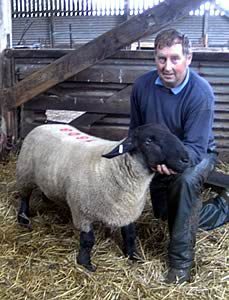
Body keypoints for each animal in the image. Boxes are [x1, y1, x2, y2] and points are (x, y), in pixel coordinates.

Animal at [16, 123, 190, 270]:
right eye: (148, 141)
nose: (186, 159)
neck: (115, 167)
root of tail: (45, 124)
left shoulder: (127, 210)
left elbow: (130, 235)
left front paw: (133, 256)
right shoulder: (82, 213)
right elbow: (87, 241)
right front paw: (85, 264)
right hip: (25, 173)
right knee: (24, 196)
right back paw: (23, 218)